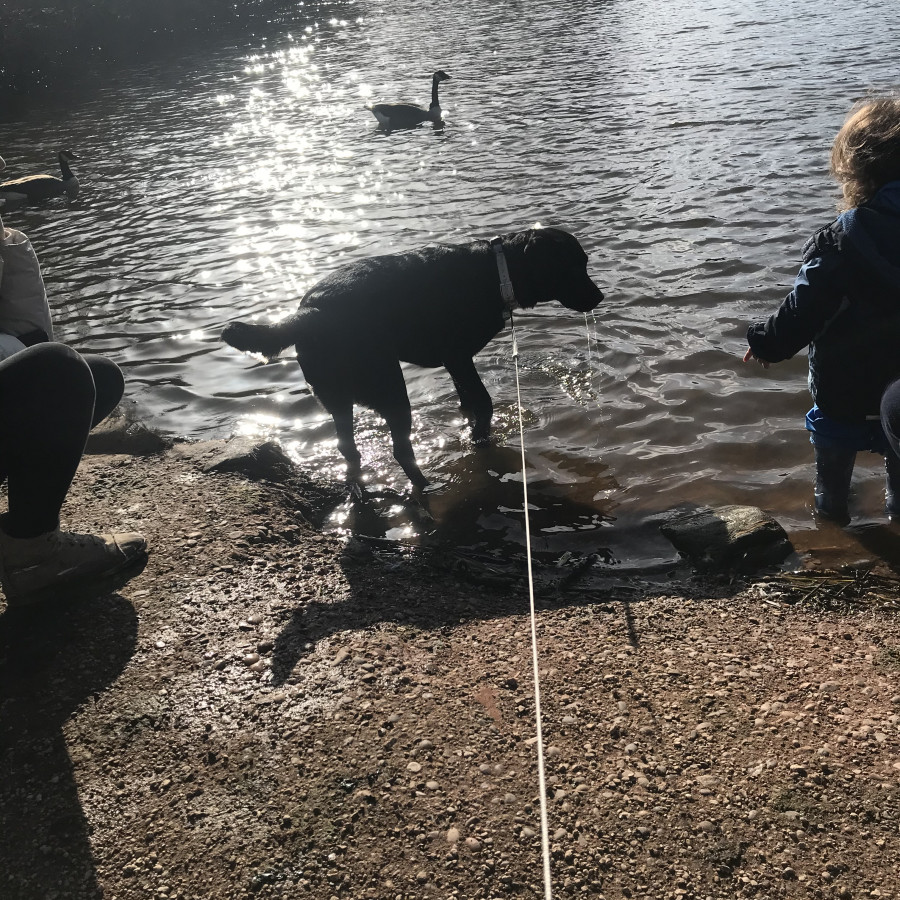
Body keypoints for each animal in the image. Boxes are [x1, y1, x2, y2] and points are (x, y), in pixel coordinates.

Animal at [222, 229, 604, 488]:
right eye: (574, 266)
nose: (600, 297)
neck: (496, 272)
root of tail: (307, 314)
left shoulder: (456, 363)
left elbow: (468, 404)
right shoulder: (458, 355)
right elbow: (482, 401)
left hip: (337, 399)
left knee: (349, 449)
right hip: (391, 388)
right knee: (400, 450)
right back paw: (428, 485)